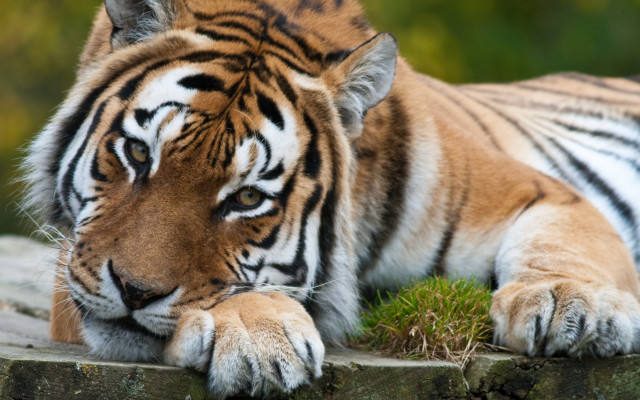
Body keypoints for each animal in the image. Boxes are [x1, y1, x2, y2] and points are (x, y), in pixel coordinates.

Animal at [21, 0, 640, 397]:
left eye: (247, 198)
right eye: (137, 153)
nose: (134, 291)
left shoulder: (541, 191)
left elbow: (561, 246)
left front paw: (568, 305)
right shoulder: (70, 269)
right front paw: (258, 334)